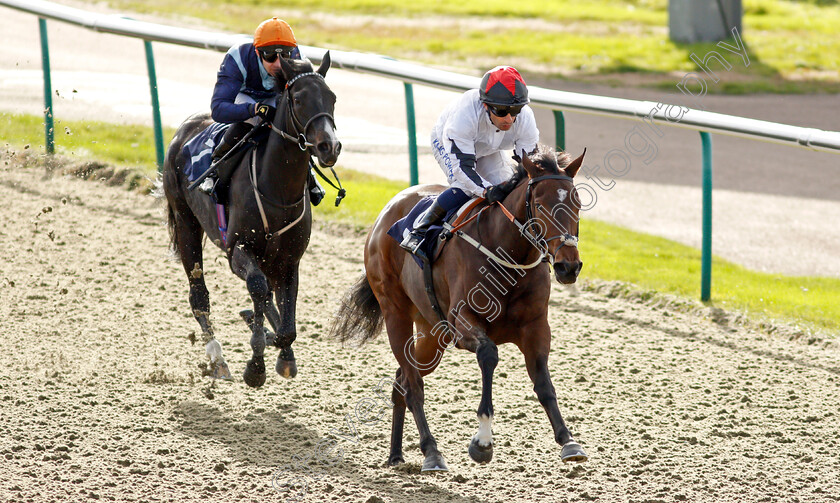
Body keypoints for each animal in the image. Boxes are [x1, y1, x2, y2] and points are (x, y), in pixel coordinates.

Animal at [162, 53, 340, 388]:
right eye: (298, 99)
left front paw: (282, 353)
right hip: (185, 221)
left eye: (332, 98)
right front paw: (256, 365)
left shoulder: (289, 260)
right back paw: (218, 359)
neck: (278, 191)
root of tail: (186, 127)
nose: (329, 147)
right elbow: (258, 288)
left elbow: (286, 325)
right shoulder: (238, 250)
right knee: (199, 297)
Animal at [332, 145, 588, 472]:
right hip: (396, 314)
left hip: (431, 334)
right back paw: (431, 452)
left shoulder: (536, 327)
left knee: (402, 380)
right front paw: (482, 442)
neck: (506, 254)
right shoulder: (463, 322)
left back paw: (396, 454)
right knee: (413, 385)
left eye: (577, 203)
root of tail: (386, 212)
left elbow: (544, 384)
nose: (569, 266)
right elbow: (489, 355)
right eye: (541, 205)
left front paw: (568, 441)